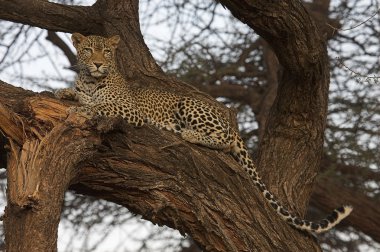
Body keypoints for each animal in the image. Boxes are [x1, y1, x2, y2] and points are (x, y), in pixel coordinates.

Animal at [56, 33, 354, 234]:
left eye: (106, 52)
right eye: (87, 50)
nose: (97, 64)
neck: (91, 80)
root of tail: (231, 121)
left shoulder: (130, 110)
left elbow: (101, 105)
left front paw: (84, 107)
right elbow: (81, 95)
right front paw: (65, 92)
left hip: (189, 105)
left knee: (223, 141)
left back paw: (189, 134)